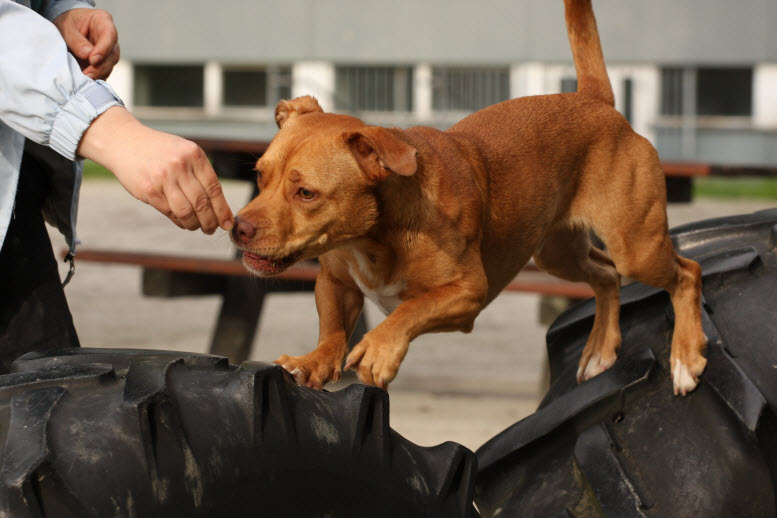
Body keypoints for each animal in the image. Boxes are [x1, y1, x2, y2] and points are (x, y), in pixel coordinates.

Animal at [229, 0, 704, 396]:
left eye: (306, 193)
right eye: (259, 176)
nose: (238, 227)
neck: (375, 238)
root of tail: (596, 102)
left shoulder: (467, 293)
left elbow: (410, 309)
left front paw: (380, 348)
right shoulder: (336, 282)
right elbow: (331, 330)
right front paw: (313, 362)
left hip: (636, 246)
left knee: (686, 273)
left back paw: (685, 357)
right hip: (557, 253)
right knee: (606, 276)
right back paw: (602, 349)